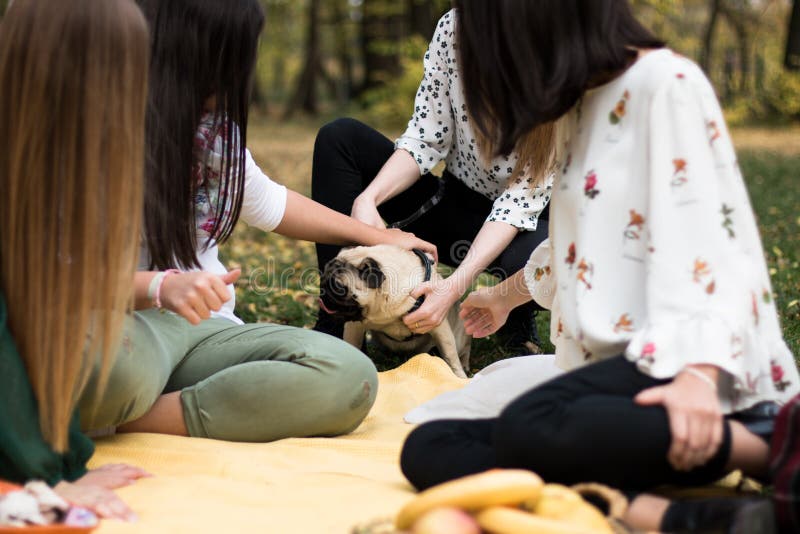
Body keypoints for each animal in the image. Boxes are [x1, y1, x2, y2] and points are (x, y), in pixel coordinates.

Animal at [318, 245, 468, 378]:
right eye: (322, 278)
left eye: (338, 287)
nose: (323, 292)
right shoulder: (354, 327)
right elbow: (352, 344)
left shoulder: (439, 326)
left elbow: (450, 356)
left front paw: (459, 377)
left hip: (459, 339)